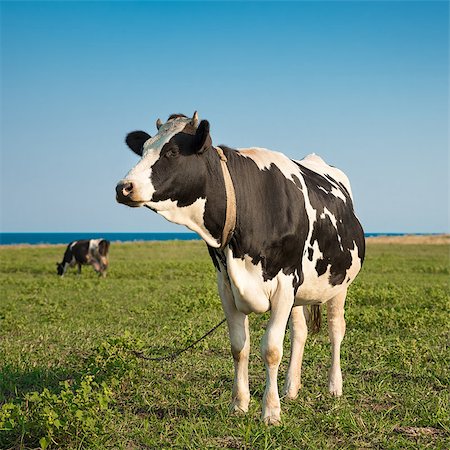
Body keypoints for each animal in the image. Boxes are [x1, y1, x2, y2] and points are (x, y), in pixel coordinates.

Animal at [114, 110, 364, 424]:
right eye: (144, 149)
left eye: (171, 152)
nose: (123, 187)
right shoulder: (227, 285)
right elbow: (239, 346)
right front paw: (239, 404)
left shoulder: (284, 283)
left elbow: (271, 349)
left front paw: (270, 412)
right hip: (300, 290)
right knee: (300, 331)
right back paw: (291, 388)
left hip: (339, 283)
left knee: (335, 329)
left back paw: (334, 386)